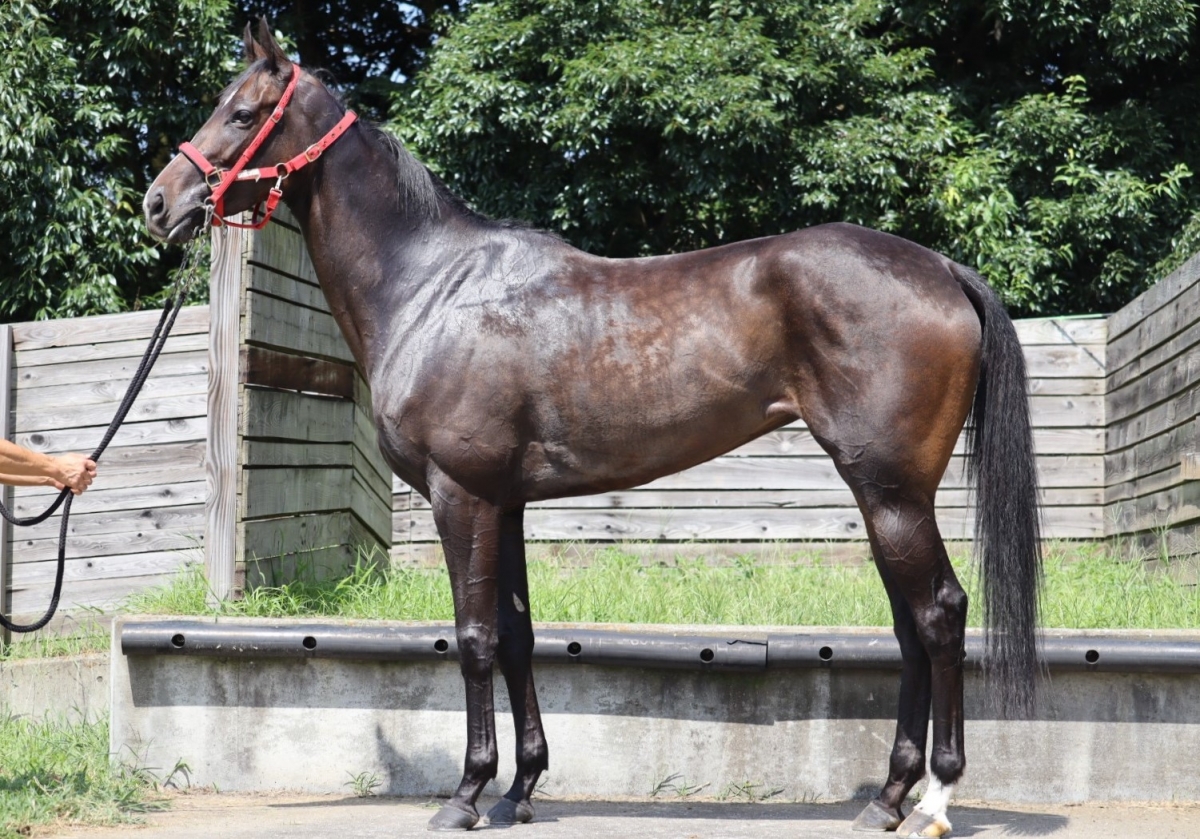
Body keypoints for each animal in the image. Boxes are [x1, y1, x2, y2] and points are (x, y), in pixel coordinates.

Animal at [144, 22, 1041, 838]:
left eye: (242, 111)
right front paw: (520, 789)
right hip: (881, 496)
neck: (432, 286)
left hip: (891, 492)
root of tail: (941, 269)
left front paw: (466, 794)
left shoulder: (460, 496)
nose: (160, 203)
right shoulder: (504, 502)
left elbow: (473, 637)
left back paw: (933, 800)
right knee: (910, 627)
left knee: (939, 615)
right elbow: (516, 634)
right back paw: (886, 799)